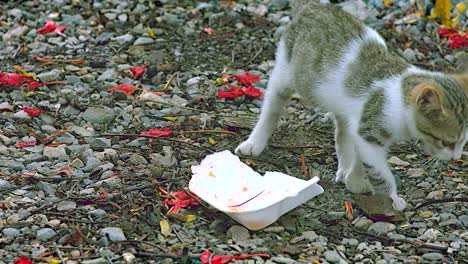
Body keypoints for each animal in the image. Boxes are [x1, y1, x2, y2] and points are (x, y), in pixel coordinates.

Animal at [236, 0, 468, 210]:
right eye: (447, 142)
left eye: (463, 142)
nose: (456, 157)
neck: (400, 96)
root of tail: (314, 6)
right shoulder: (370, 132)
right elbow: (381, 172)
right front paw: (392, 198)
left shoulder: (360, 129)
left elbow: (360, 157)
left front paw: (354, 179)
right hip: (287, 72)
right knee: (272, 104)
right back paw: (254, 142)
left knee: (341, 133)